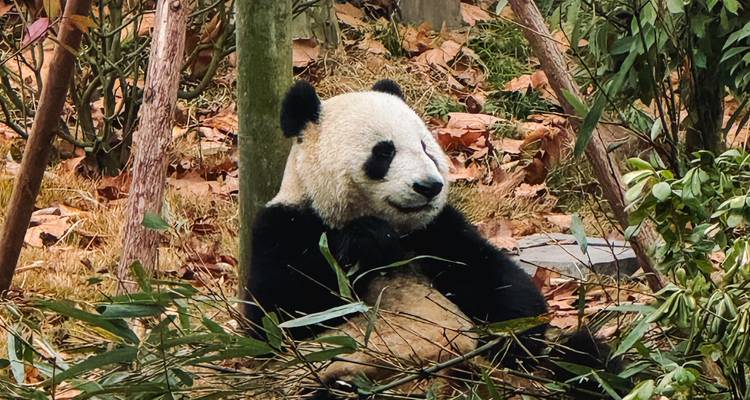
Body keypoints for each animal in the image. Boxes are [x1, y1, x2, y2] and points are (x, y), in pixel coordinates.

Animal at [243, 79, 614, 397]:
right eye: (384, 152)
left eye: (425, 147)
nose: (428, 186)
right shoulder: (285, 227)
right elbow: (280, 317)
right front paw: (366, 241)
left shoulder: (438, 230)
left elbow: (501, 285)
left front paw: (513, 339)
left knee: (584, 355)